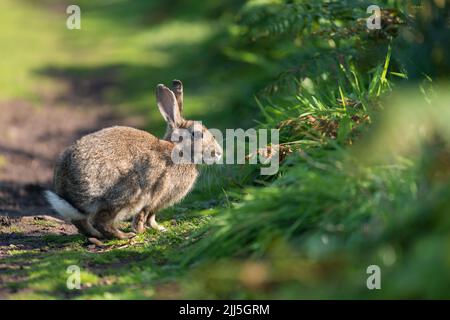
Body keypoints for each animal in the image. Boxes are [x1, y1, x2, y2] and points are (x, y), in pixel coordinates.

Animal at [44, 79, 223, 240]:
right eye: (197, 134)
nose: (219, 153)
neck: (178, 150)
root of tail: (68, 190)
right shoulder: (155, 194)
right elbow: (146, 215)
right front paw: (146, 230)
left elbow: (150, 216)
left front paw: (159, 228)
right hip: (128, 191)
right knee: (101, 221)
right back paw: (124, 235)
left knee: (81, 223)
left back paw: (97, 235)